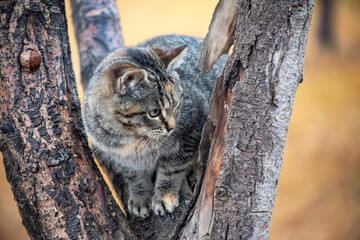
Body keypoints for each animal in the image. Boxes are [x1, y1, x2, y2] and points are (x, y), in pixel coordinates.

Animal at [83, 34, 226, 218]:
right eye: (154, 112)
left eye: (177, 103)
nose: (171, 127)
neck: (130, 136)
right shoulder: (123, 159)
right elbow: (135, 178)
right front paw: (140, 198)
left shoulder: (190, 131)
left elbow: (171, 169)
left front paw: (164, 196)